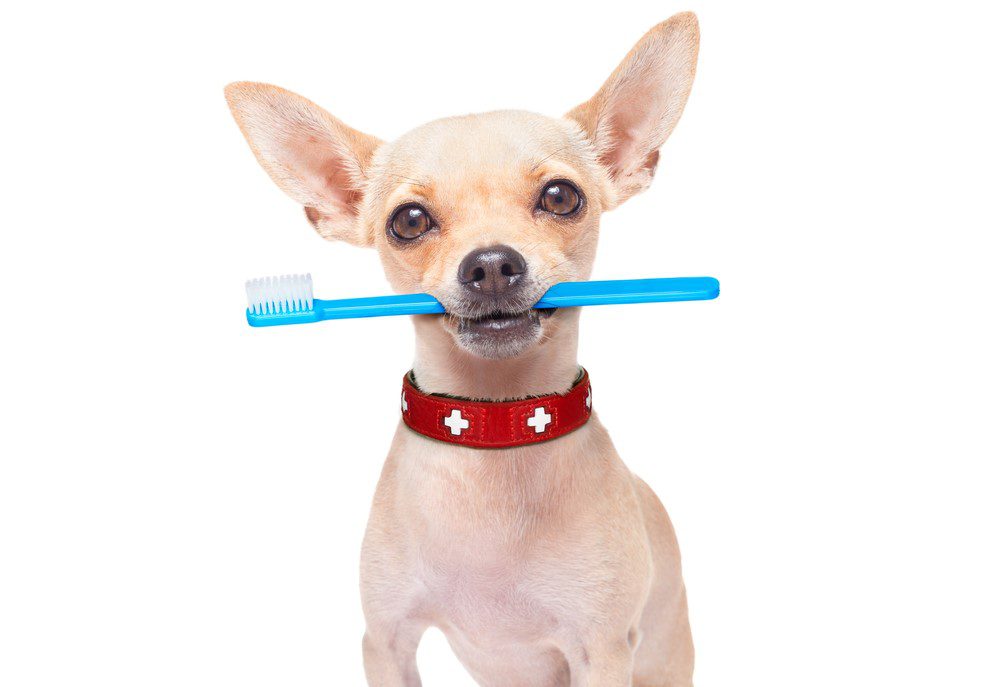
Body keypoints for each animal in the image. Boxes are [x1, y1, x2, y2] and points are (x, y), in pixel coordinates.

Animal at [226, 12, 700, 687]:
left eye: (561, 197)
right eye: (408, 221)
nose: (493, 264)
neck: (495, 429)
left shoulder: (603, 654)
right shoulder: (386, 642)